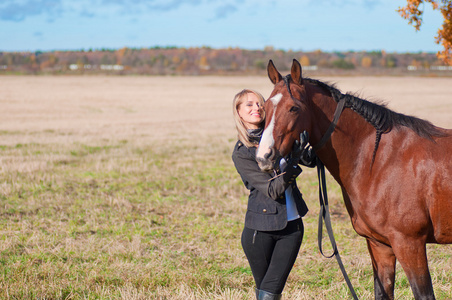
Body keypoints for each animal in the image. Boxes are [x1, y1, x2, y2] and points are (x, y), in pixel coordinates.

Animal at [258, 59, 452, 300]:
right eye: (265, 107)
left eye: (294, 108)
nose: (264, 156)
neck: (380, 160)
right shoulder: (380, 245)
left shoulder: (410, 244)